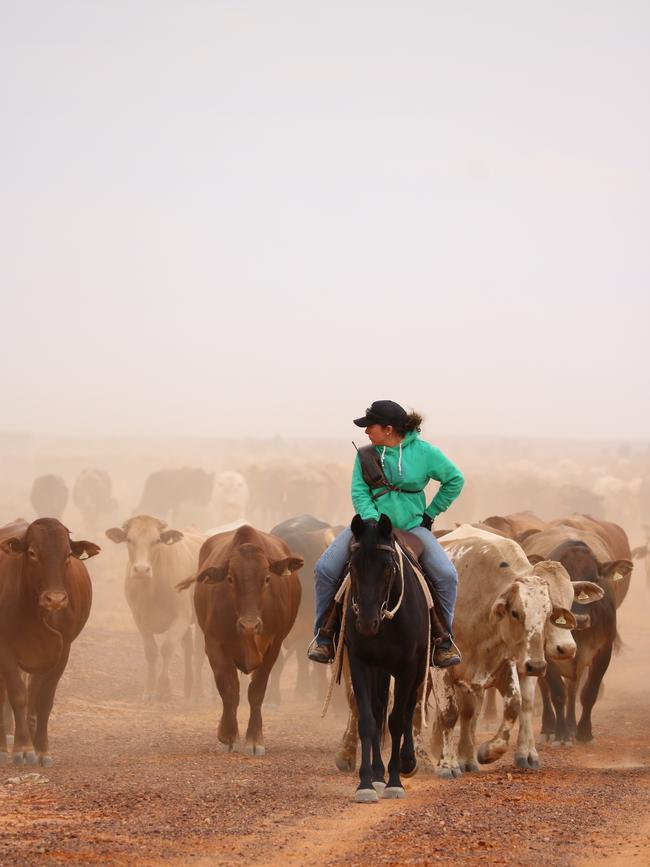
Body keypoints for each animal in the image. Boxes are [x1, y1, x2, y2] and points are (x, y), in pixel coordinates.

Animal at [0, 520, 98, 764]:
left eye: (67, 555)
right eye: (33, 553)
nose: (55, 599)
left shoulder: (61, 651)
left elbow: (44, 700)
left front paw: (41, 749)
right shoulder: (5, 648)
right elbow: (17, 696)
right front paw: (22, 748)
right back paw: (4, 748)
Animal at [344, 512, 430, 804]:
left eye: (387, 567)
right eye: (352, 565)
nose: (366, 623)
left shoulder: (408, 667)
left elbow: (396, 721)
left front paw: (394, 782)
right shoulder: (359, 662)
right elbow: (368, 720)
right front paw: (367, 783)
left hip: (417, 670)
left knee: (408, 709)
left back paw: (407, 762)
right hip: (379, 670)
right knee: (379, 708)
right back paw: (378, 774)